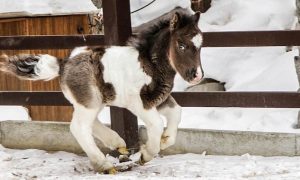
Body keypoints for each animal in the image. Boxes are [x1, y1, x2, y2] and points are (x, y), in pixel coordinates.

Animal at [0, 9, 204, 173]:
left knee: (88, 123)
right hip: (89, 103)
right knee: (78, 127)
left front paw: (165, 141)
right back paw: (104, 164)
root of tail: (63, 64)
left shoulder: (159, 99)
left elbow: (177, 112)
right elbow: (156, 124)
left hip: (95, 101)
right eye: (181, 45)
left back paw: (118, 144)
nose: (197, 76)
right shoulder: (140, 104)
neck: (150, 66)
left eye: (200, 45)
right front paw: (146, 155)